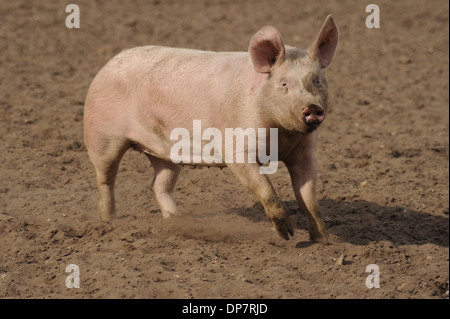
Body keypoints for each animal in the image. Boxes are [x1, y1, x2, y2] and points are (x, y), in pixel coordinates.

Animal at [83, 13, 338, 241]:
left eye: (316, 80)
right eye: (284, 84)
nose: (312, 107)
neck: (282, 136)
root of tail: (109, 64)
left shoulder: (304, 152)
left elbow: (309, 197)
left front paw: (324, 241)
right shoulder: (236, 147)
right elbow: (264, 186)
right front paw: (288, 234)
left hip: (165, 152)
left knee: (158, 184)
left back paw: (177, 220)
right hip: (101, 134)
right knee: (105, 179)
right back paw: (109, 220)